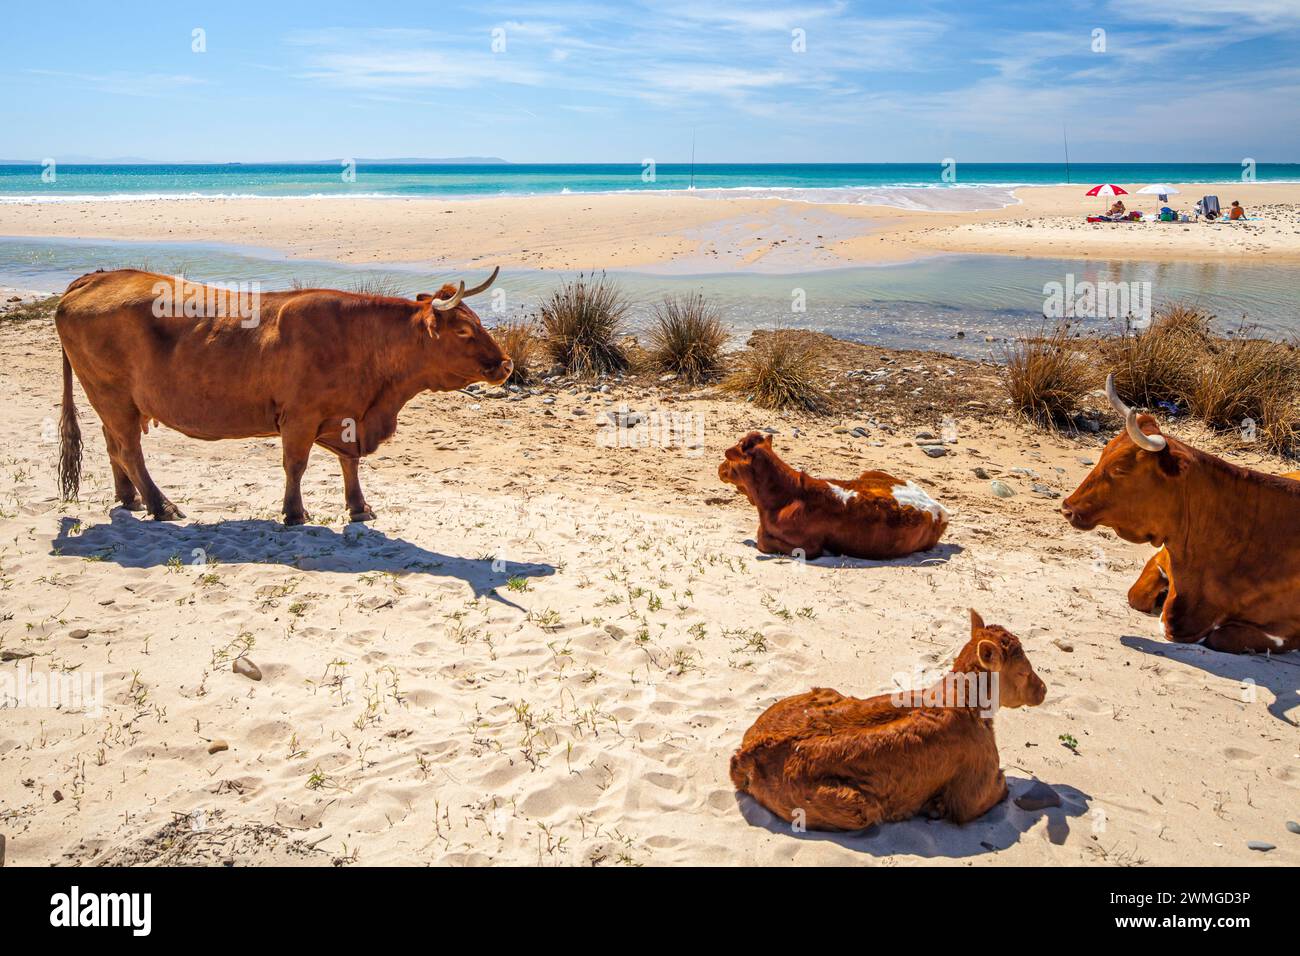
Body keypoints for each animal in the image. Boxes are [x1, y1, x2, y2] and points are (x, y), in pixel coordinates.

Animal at [55, 267, 512, 522]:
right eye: (464, 330)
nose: (507, 364)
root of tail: (97, 277)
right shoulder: (300, 417)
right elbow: (296, 465)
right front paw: (294, 512)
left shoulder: (345, 417)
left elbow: (349, 463)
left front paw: (358, 507)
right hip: (113, 396)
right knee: (129, 450)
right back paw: (160, 505)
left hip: (115, 403)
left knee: (114, 445)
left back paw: (129, 498)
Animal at [733, 613, 1045, 832]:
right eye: (1021, 672)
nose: (1043, 689)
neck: (964, 700)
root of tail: (746, 752)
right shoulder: (975, 792)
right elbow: (1000, 789)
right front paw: (936, 806)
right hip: (858, 807)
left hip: (824, 693)